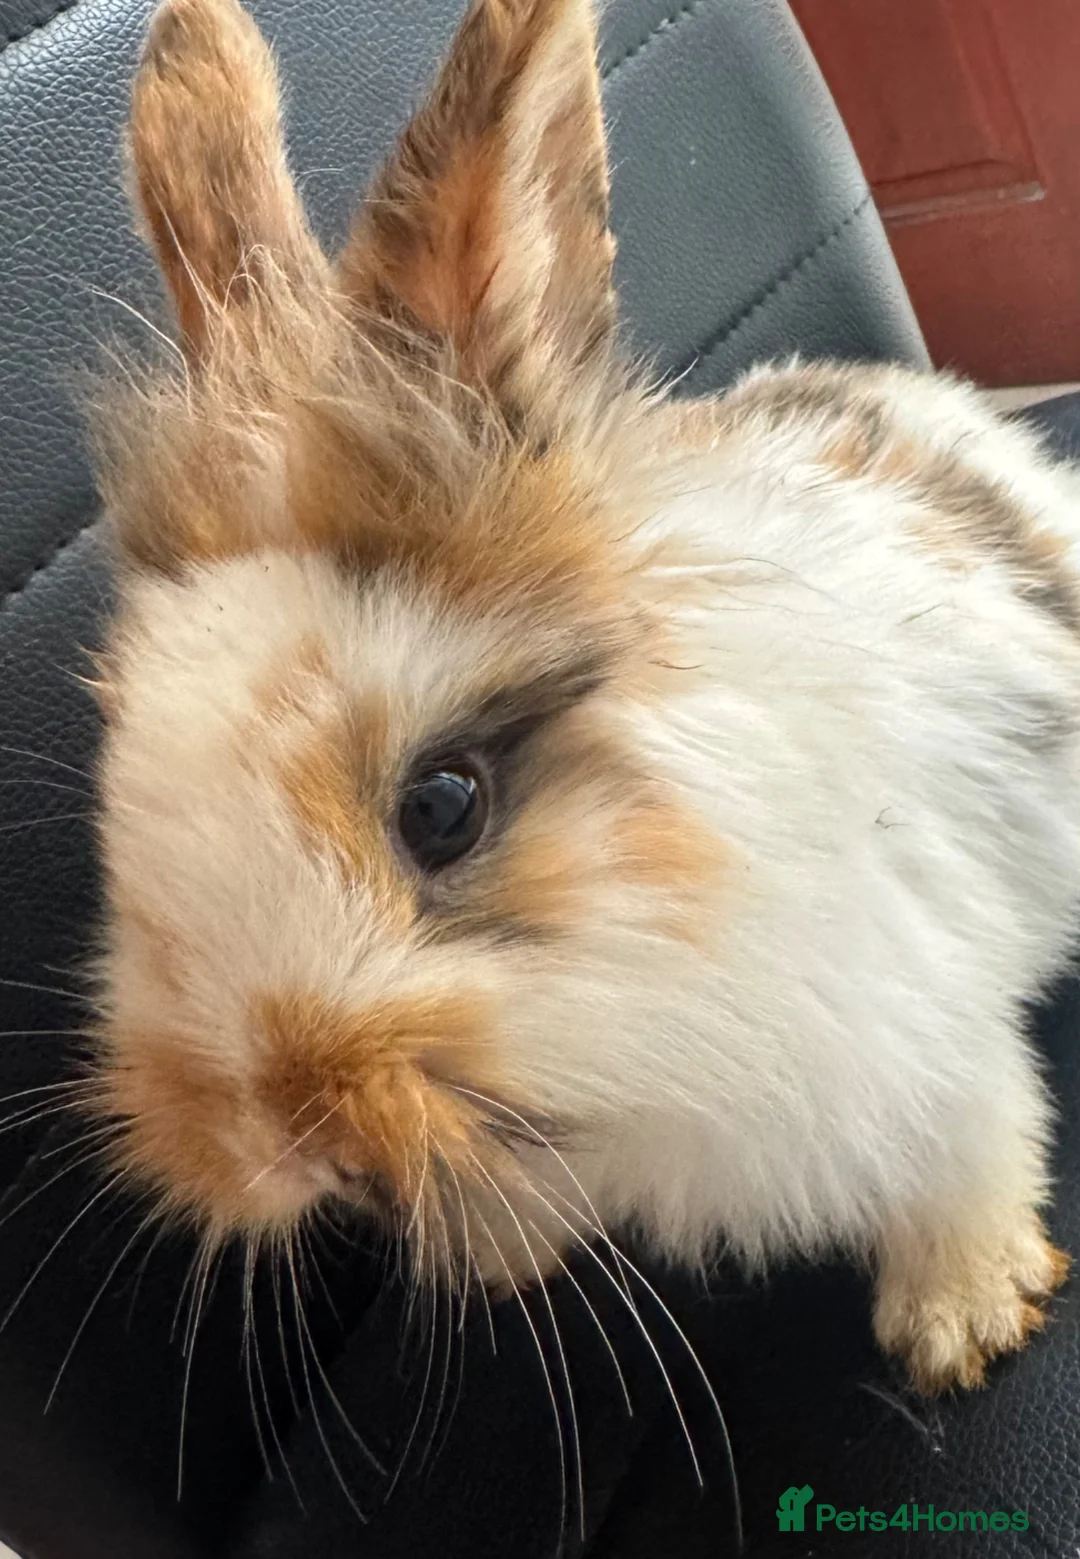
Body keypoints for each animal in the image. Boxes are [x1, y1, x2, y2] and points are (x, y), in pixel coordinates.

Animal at [85, 0, 1080, 1399]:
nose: (290, 1140)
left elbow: (972, 1138)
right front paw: (497, 1259)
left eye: (443, 806)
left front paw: (962, 1315)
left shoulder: (921, 1019)